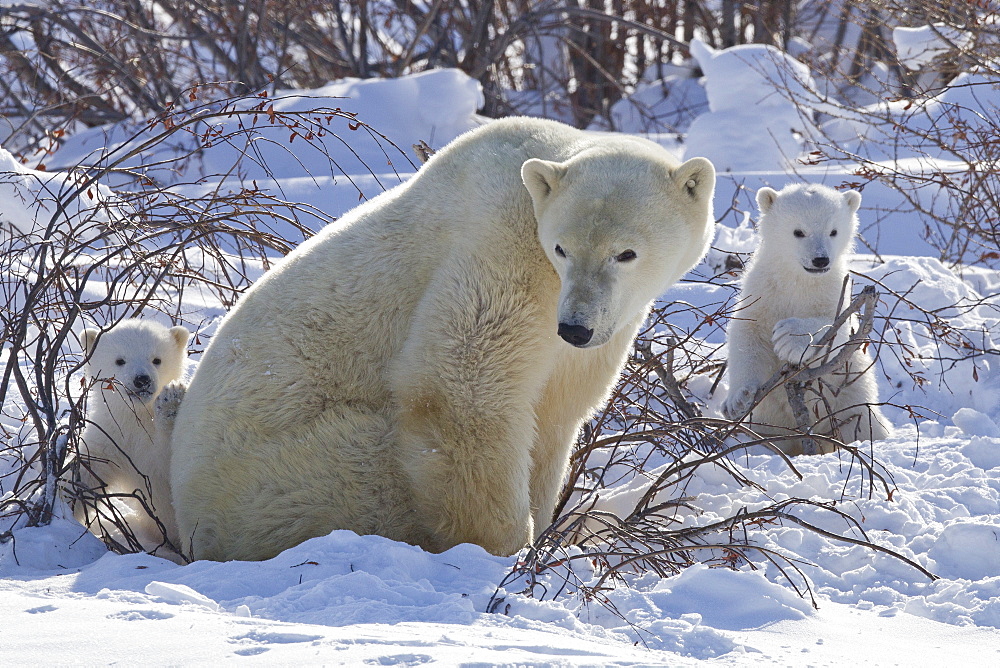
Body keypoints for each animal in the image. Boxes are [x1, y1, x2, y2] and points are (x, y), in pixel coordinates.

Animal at [76, 318, 189, 560]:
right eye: (120, 360)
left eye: (156, 359)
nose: (141, 380)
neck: (139, 418)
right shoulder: (113, 436)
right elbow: (87, 470)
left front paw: (172, 400)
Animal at [172, 117, 720, 560]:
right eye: (562, 248)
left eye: (626, 253)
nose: (575, 327)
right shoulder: (502, 245)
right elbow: (462, 388)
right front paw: (507, 547)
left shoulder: (605, 326)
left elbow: (557, 411)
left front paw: (545, 525)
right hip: (297, 470)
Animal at [720, 185, 892, 452]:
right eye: (798, 231)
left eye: (833, 231)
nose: (820, 260)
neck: (800, 279)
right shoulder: (762, 293)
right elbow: (747, 334)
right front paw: (738, 399)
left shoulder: (835, 292)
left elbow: (838, 332)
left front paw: (790, 338)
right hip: (770, 421)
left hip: (851, 406)